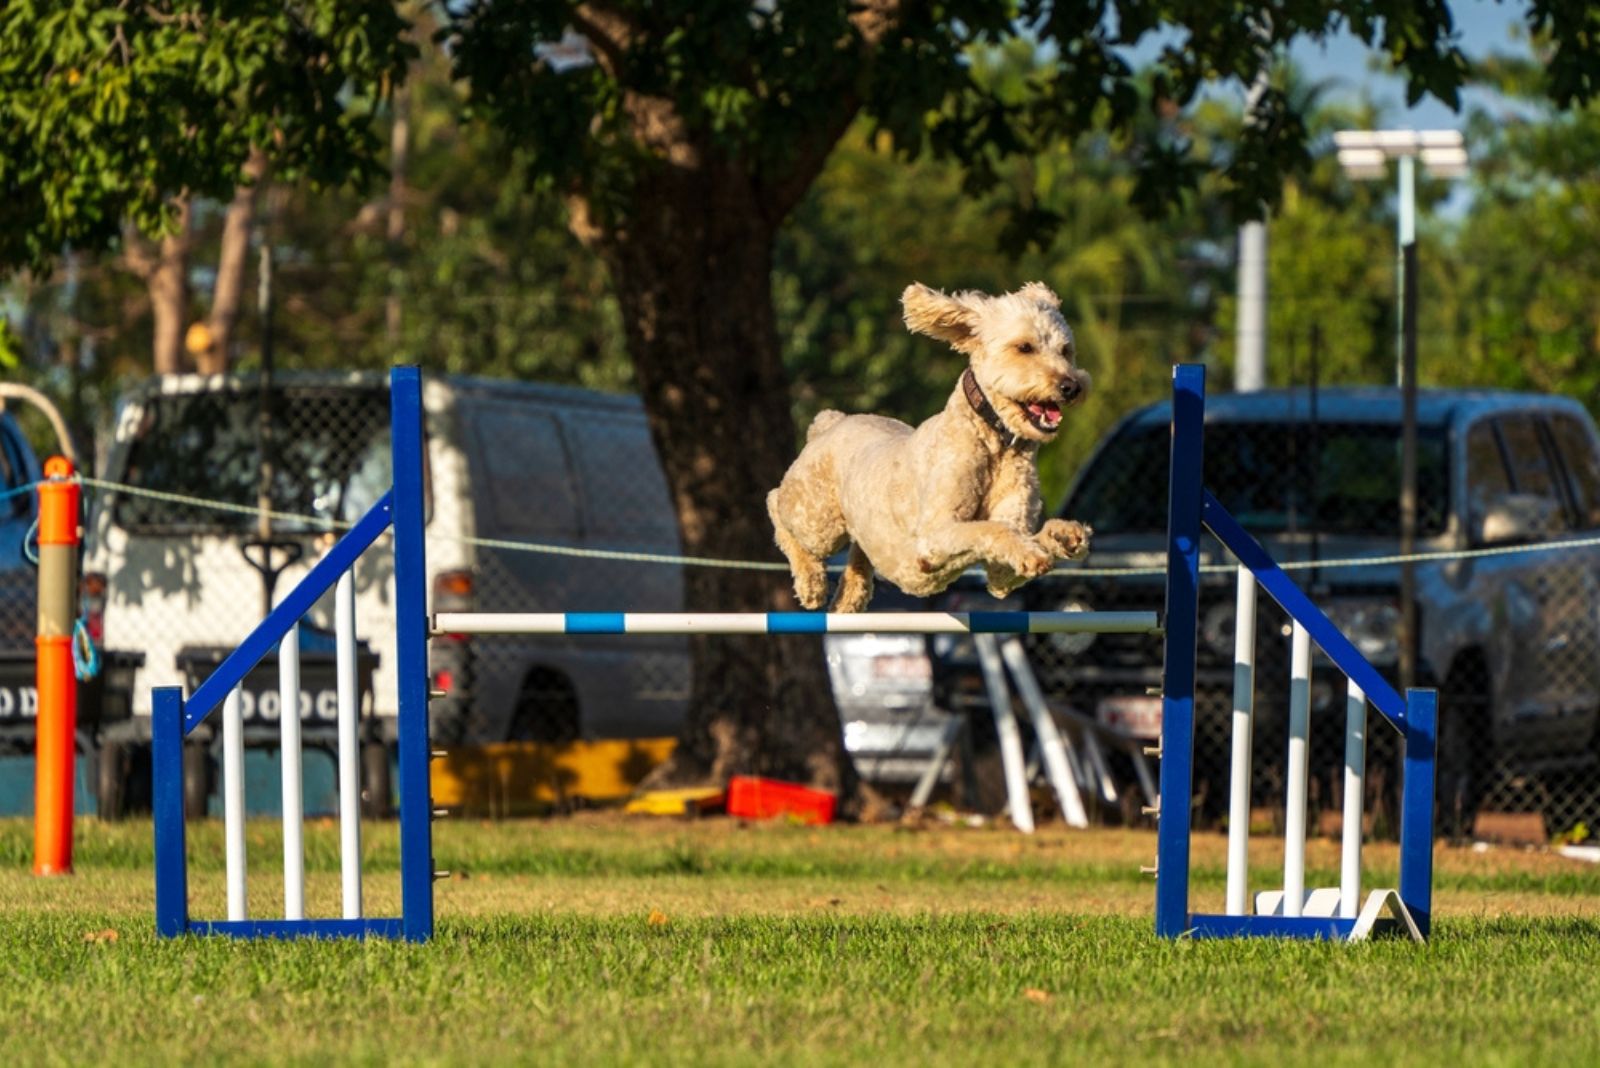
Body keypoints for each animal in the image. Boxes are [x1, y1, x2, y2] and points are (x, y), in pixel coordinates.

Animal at [768, 279, 1094, 613]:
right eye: (1025, 347)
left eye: (1066, 350)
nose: (1071, 386)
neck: (994, 443)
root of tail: (832, 422)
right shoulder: (936, 535)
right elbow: (991, 529)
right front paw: (1040, 546)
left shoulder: (1000, 573)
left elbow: (1012, 544)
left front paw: (1064, 536)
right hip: (818, 521)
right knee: (775, 502)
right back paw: (811, 583)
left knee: (856, 558)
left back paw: (849, 597)